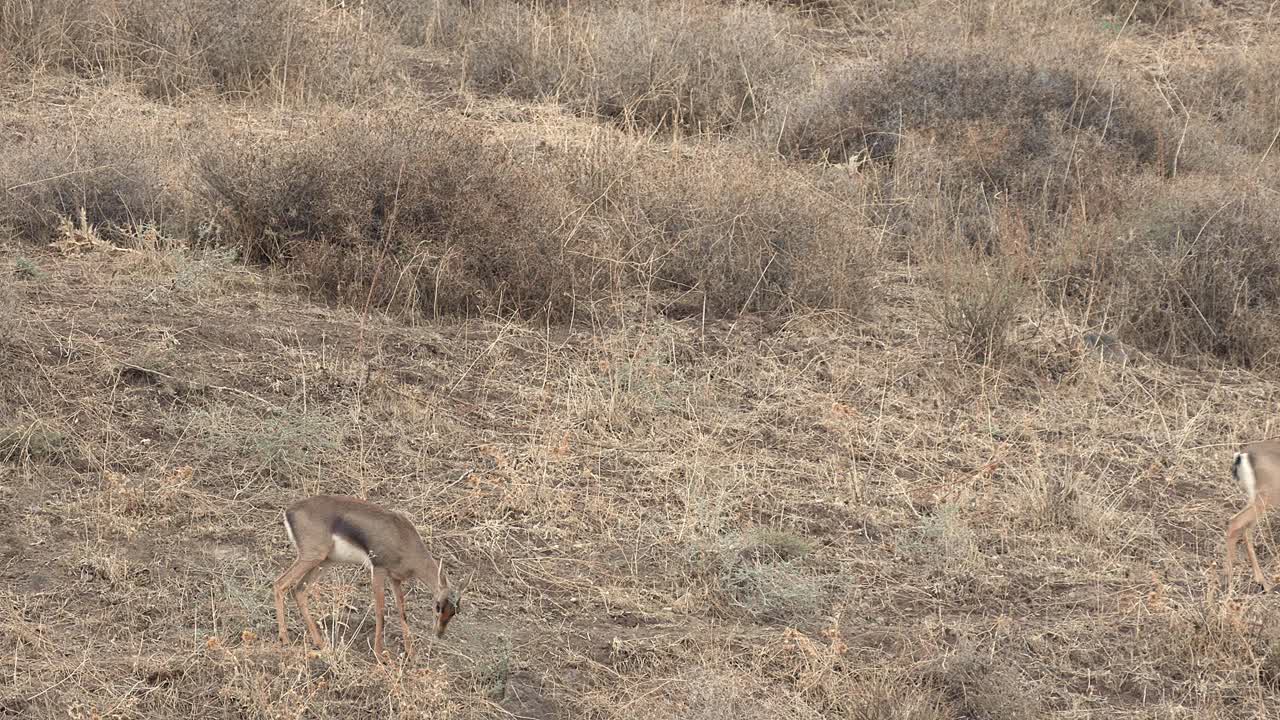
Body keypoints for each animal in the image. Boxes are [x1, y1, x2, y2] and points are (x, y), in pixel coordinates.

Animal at [273, 494, 471, 658]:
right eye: (438, 606)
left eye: (456, 610)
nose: (439, 633)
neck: (404, 539)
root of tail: (290, 510)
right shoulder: (378, 570)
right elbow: (380, 611)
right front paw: (380, 654)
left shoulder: (395, 579)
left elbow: (402, 612)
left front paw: (411, 653)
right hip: (311, 557)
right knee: (280, 583)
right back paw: (285, 639)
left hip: (324, 562)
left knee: (299, 590)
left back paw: (321, 643)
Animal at [1224, 441, 1280, 593]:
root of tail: (1242, 456)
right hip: (1263, 500)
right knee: (1235, 523)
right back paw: (1229, 583)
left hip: (1255, 501)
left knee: (1246, 530)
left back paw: (1263, 583)